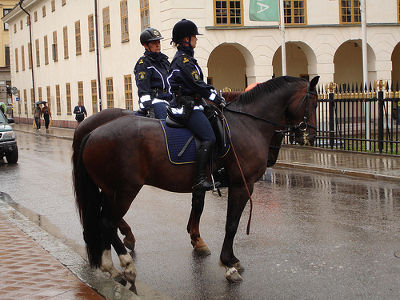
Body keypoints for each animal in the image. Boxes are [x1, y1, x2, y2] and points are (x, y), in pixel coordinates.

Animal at [72, 75, 318, 286]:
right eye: (313, 103)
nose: (310, 136)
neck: (248, 124)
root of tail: (92, 132)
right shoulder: (241, 185)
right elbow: (231, 224)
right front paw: (228, 263)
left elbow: (200, 208)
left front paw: (206, 246)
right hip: (124, 191)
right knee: (107, 222)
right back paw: (126, 264)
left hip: (109, 190)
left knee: (103, 221)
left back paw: (110, 265)